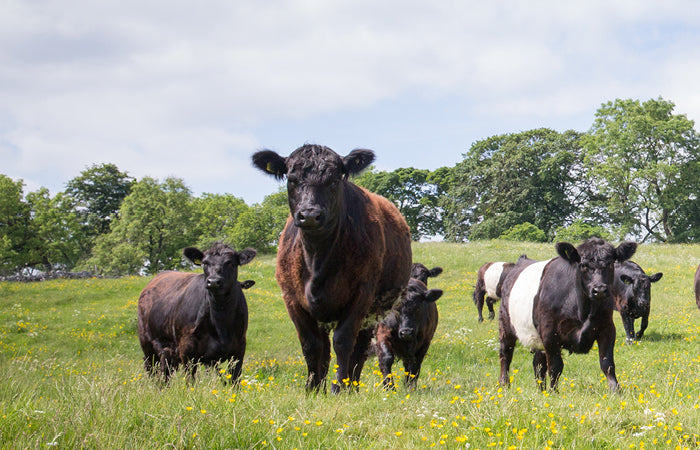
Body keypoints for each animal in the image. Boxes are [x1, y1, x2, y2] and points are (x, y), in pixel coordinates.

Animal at [137, 242, 256, 383]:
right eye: (205, 263)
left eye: (231, 263)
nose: (213, 281)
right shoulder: (187, 351)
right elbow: (191, 381)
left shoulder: (238, 349)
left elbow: (234, 380)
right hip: (148, 345)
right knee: (152, 371)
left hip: (168, 352)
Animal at [252, 144, 412, 393]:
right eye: (291, 179)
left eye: (335, 180)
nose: (309, 215)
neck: (317, 259)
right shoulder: (292, 299)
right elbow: (311, 345)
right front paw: (312, 388)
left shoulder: (360, 295)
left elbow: (343, 342)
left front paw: (338, 387)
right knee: (325, 349)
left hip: (372, 312)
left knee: (358, 348)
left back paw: (351, 386)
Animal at [498, 238, 637, 393]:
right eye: (583, 265)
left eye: (611, 264)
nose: (599, 290)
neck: (583, 311)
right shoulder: (549, 333)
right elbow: (555, 367)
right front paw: (553, 393)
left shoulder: (607, 329)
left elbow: (607, 363)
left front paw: (615, 391)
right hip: (505, 324)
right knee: (505, 354)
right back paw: (504, 384)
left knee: (538, 363)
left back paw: (541, 390)